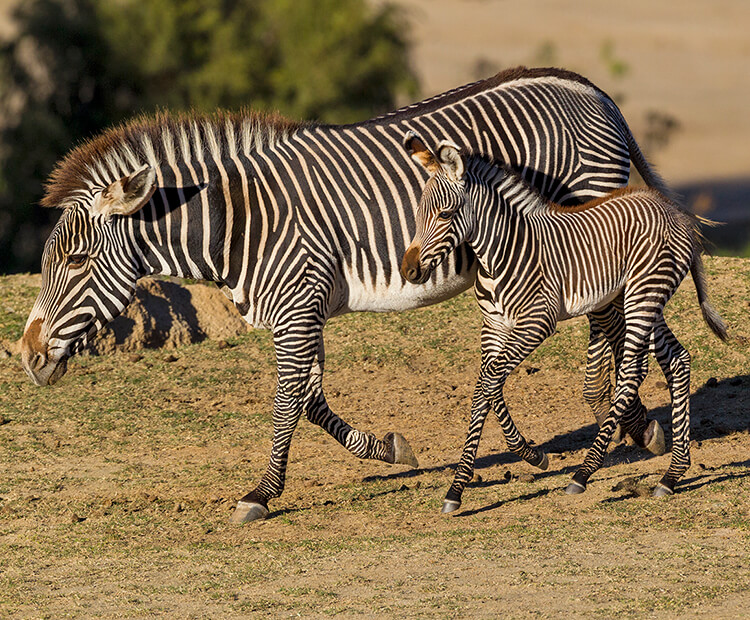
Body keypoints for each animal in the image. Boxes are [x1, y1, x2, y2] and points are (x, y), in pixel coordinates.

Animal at [20, 66, 664, 524]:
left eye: (75, 262)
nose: (25, 356)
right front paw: (391, 448)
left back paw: (626, 421)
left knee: (615, 322)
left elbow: (287, 402)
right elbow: (308, 399)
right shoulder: (302, 308)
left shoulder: (298, 305)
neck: (238, 223)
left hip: (593, 229)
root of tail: (585, 86)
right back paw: (609, 431)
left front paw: (261, 494)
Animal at [402, 132, 732, 512]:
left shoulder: (538, 322)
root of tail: (667, 207)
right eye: (418, 214)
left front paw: (529, 457)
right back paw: (672, 475)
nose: (408, 271)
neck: (501, 253)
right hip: (639, 299)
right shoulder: (494, 326)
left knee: (631, 373)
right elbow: (485, 387)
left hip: (643, 295)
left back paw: (584, 474)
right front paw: (461, 487)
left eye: (445, 214)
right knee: (677, 361)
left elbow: (490, 383)